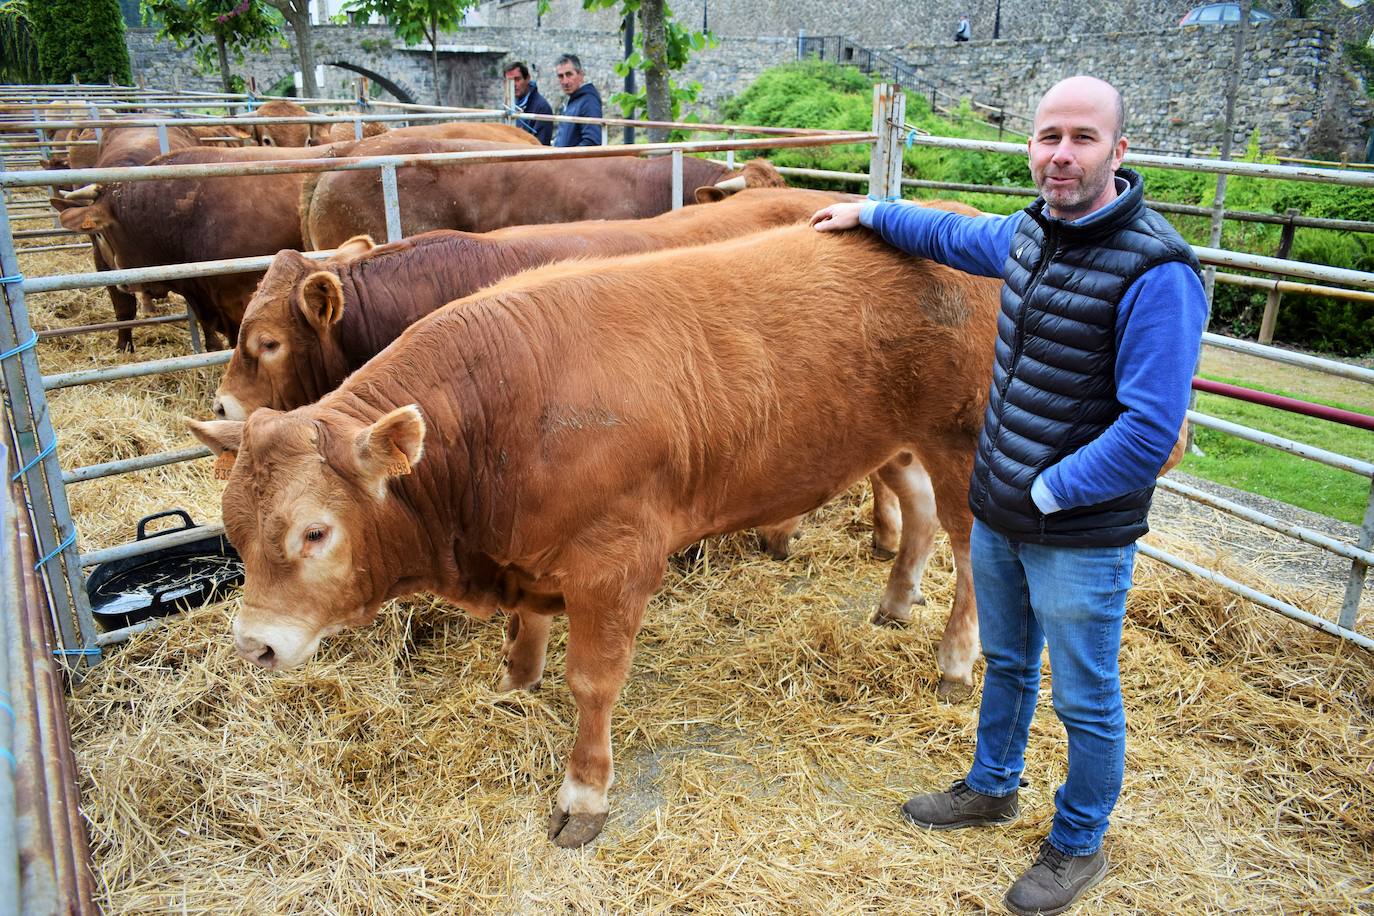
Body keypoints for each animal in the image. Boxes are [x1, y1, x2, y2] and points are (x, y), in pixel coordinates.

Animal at [190, 223, 1000, 851]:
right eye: (234, 530)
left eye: (315, 532)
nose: (254, 645)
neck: (502, 415)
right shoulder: (526, 556)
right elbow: (524, 635)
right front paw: (513, 688)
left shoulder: (614, 565)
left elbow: (593, 681)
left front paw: (582, 796)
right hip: (892, 440)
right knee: (917, 508)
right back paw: (896, 599)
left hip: (964, 448)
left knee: (971, 557)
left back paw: (955, 661)